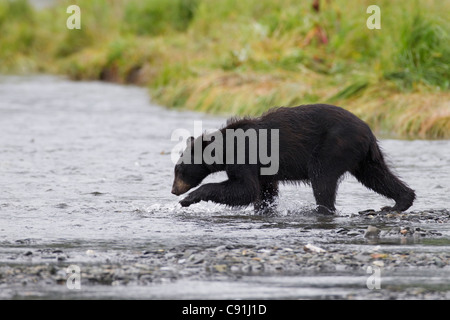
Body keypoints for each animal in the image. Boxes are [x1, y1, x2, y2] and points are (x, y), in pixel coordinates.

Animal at [171, 104, 414, 215]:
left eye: (179, 170)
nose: (174, 190)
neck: (225, 148)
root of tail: (368, 130)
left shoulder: (246, 156)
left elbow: (245, 188)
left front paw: (190, 198)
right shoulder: (263, 170)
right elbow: (263, 190)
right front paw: (264, 209)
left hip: (333, 147)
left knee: (322, 178)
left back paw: (322, 208)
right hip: (363, 157)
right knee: (378, 176)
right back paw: (398, 203)